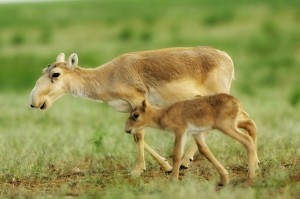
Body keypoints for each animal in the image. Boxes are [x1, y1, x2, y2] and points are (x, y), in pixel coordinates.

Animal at [30, 46, 236, 176]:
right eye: (44, 70)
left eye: (56, 74)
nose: (34, 102)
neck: (109, 75)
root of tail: (227, 58)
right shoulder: (130, 109)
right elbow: (135, 135)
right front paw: (166, 166)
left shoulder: (138, 101)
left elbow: (139, 135)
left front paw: (137, 170)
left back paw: (185, 161)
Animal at [124, 95, 258, 185]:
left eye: (135, 115)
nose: (127, 129)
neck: (164, 113)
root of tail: (236, 101)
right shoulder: (197, 133)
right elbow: (204, 150)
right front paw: (224, 178)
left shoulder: (180, 132)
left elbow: (177, 154)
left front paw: (174, 180)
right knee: (249, 128)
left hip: (227, 127)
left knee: (247, 140)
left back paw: (250, 179)